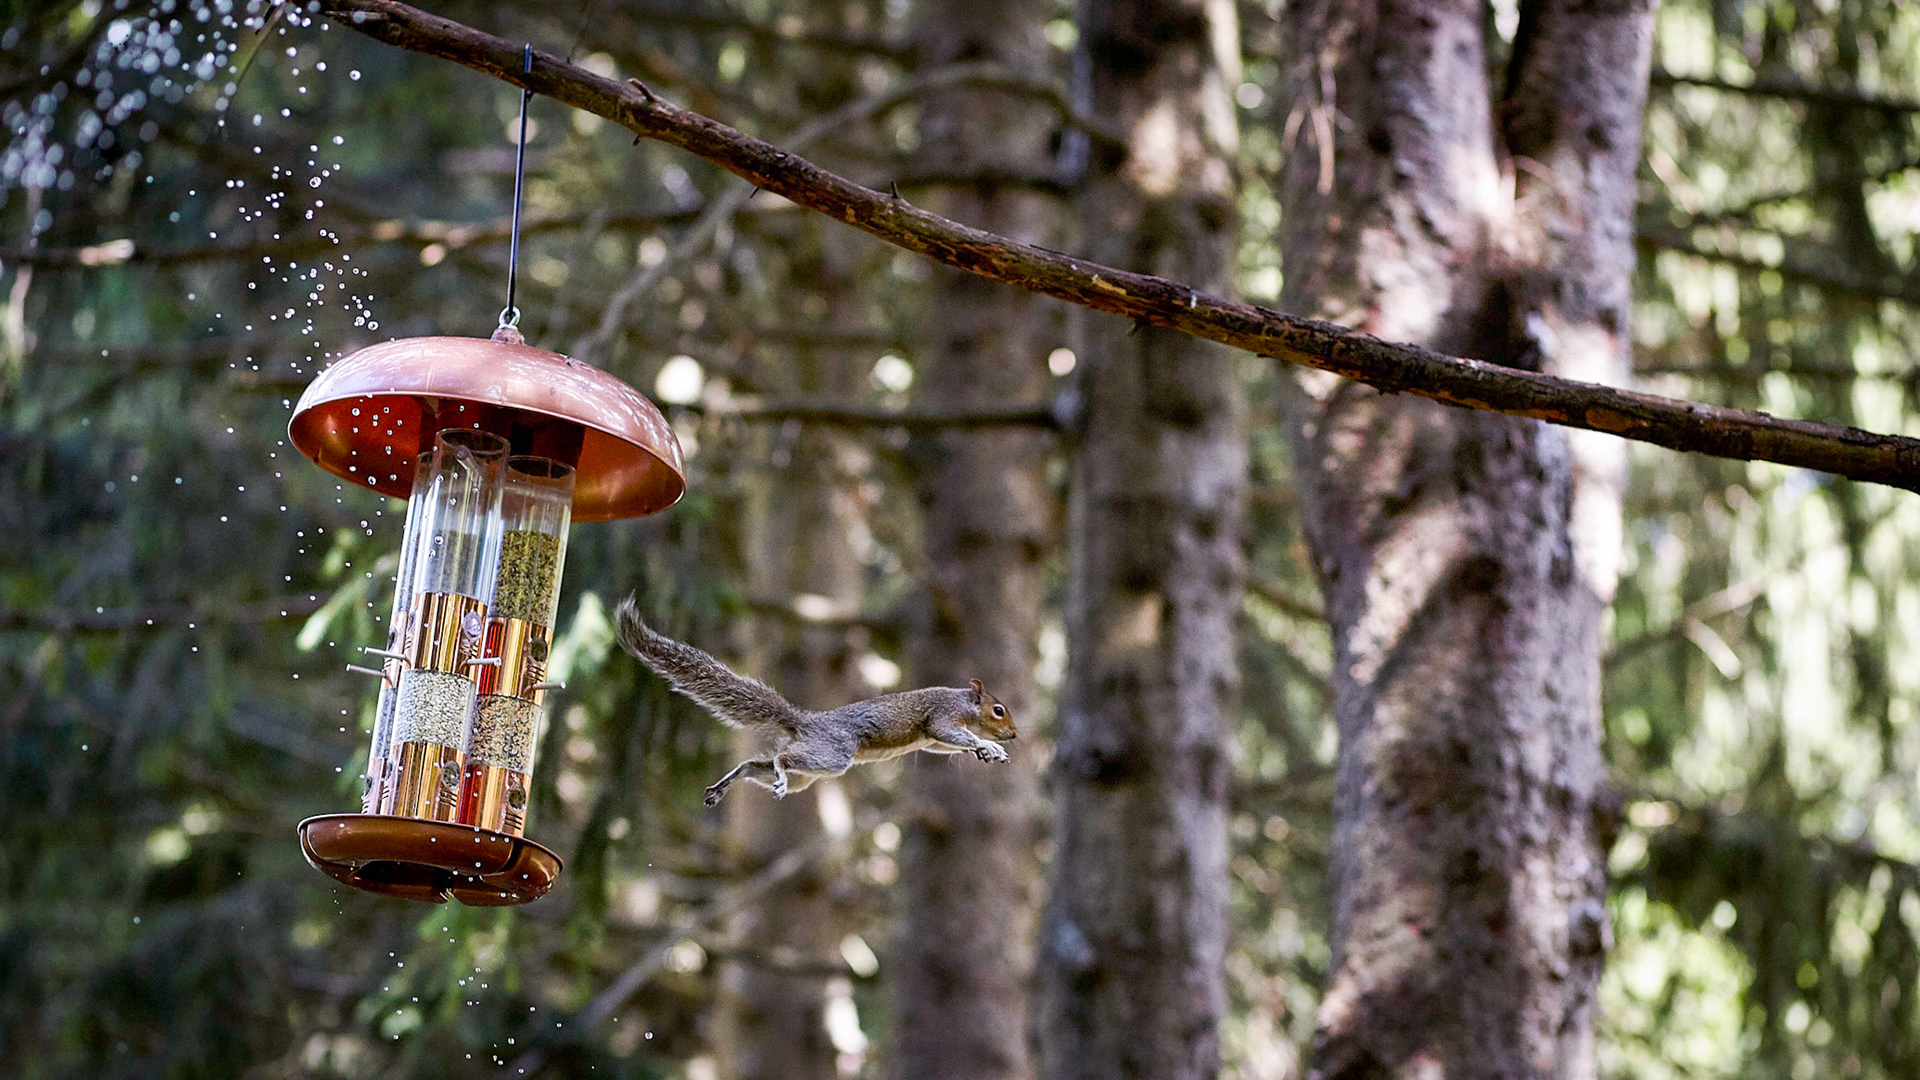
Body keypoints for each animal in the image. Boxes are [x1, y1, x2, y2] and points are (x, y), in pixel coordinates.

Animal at [616, 597, 1016, 806]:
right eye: (998, 710)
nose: (1013, 734)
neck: (965, 702)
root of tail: (805, 721)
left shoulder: (931, 739)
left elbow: (940, 746)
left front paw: (985, 751)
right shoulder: (943, 715)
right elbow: (948, 733)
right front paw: (987, 746)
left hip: (805, 777)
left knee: (756, 764)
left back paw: (727, 784)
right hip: (832, 755)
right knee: (781, 759)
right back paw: (770, 777)